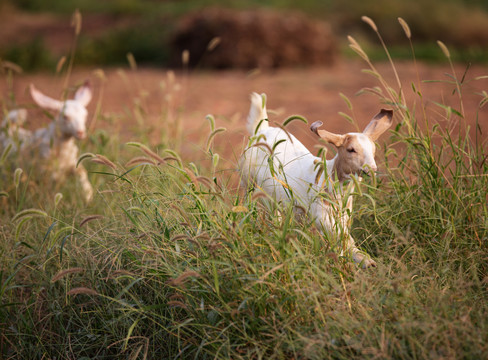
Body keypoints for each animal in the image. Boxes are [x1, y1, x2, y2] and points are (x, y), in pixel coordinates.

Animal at [238, 93, 394, 268]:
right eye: (351, 149)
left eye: (373, 150)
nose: (371, 169)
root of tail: (261, 130)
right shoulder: (321, 217)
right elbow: (343, 238)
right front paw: (366, 260)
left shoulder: (343, 217)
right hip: (248, 184)